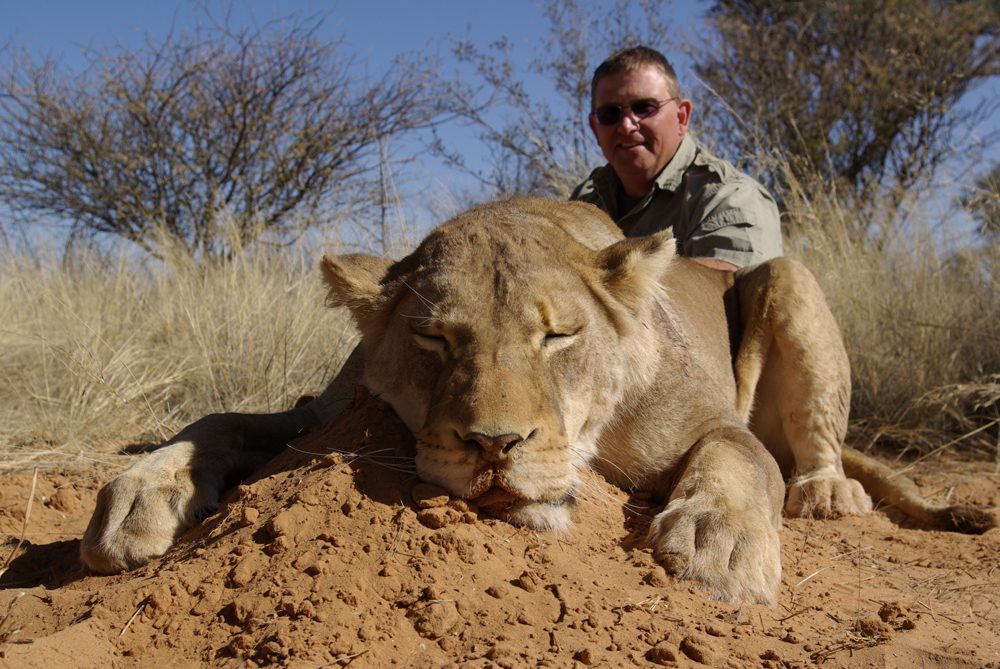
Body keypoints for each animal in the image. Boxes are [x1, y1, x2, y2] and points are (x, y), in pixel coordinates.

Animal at [80, 198, 995, 605]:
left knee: (807, 448)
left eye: (557, 336)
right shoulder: (319, 411)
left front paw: (720, 542)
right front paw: (137, 496)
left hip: (783, 275)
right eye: (437, 340)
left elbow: (740, 458)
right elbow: (219, 419)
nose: (494, 444)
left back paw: (826, 489)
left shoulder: (710, 421)